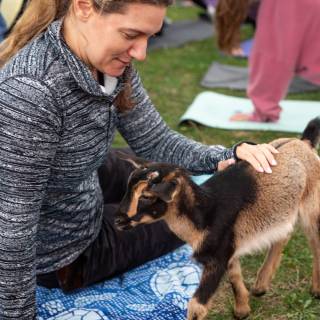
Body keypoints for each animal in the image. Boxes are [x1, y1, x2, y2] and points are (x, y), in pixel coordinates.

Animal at [114, 117, 320, 320]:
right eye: (127, 188)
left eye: (146, 196)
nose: (118, 220)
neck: (205, 212)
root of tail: (303, 142)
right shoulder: (229, 248)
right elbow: (234, 275)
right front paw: (242, 311)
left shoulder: (217, 256)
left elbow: (196, 307)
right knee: (284, 233)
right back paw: (260, 286)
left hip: (311, 204)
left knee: (314, 240)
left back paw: (315, 290)